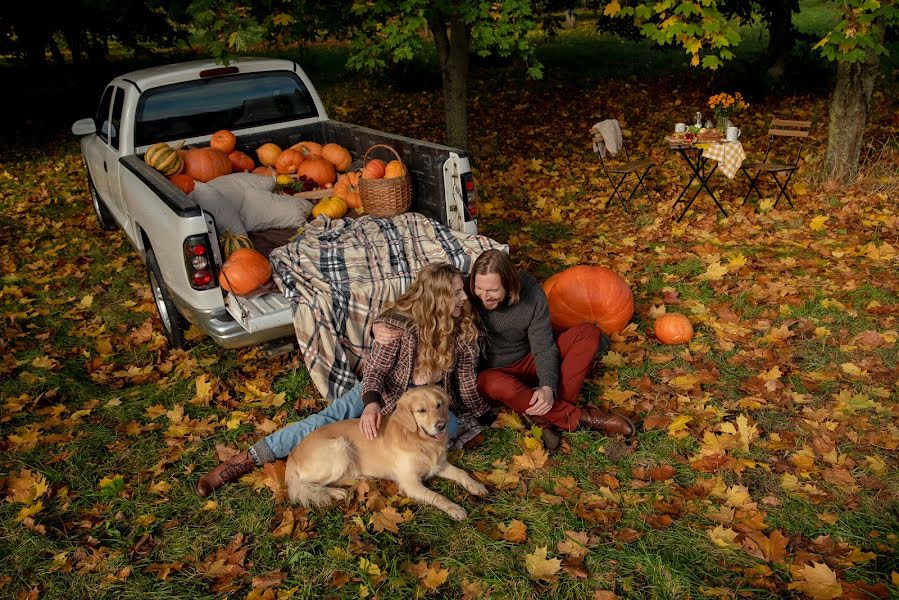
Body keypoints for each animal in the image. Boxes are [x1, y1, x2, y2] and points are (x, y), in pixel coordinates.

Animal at [284, 384, 488, 520]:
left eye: (438, 405)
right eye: (421, 410)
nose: (441, 425)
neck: (419, 440)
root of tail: (292, 454)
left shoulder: (438, 464)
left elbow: (461, 473)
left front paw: (476, 485)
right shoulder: (410, 483)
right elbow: (438, 496)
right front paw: (455, 508)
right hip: (339, 449)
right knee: (305, 484)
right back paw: (336, 493)